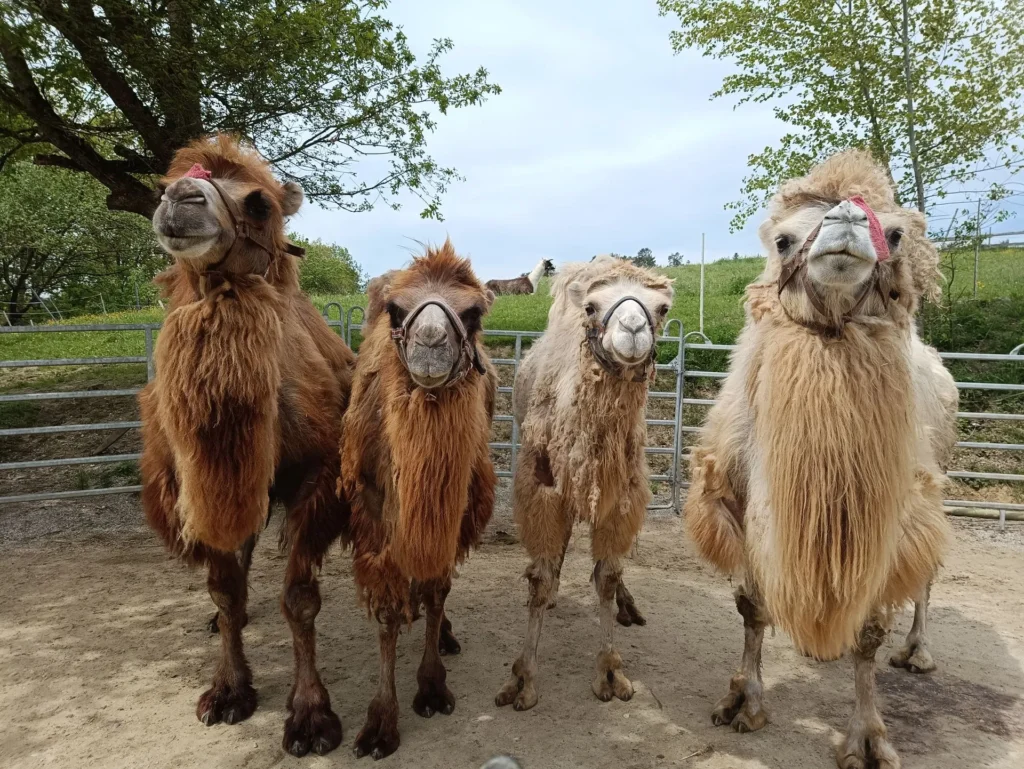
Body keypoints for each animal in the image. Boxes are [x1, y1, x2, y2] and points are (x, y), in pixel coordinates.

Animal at [139, 135, 354, 757]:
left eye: (258, 204)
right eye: (163, 187)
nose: (181, 199)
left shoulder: (316, 477)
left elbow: (300, 598)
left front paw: (310, 716)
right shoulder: (195, 484)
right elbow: (224, 590)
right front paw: (228, 690)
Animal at [340, 241, 497, 760]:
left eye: (473, 313)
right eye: (395, 309)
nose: (430, 341)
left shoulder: (455, 509)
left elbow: (437, 588)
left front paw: (431, 687)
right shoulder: (372, 514)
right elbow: (388, 610)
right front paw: (380, 723)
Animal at [495, 255, 675, 711]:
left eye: (662, 308)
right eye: (592, 307)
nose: (633, 329)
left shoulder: (621, 495)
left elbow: (607, 575)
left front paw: (610, 672)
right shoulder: (540, 489)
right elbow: (540, 576)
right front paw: (522, 679)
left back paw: (628, 606)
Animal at [685, 150, 956, 768]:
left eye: (895, 234)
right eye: (783, 239)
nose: (848, 222)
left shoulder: (881, 521)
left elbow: (869, 633)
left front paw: (868, 740)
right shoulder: (741, 503)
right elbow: (750, 607)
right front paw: (743, 703)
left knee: (924, 579)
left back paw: (919, 652)